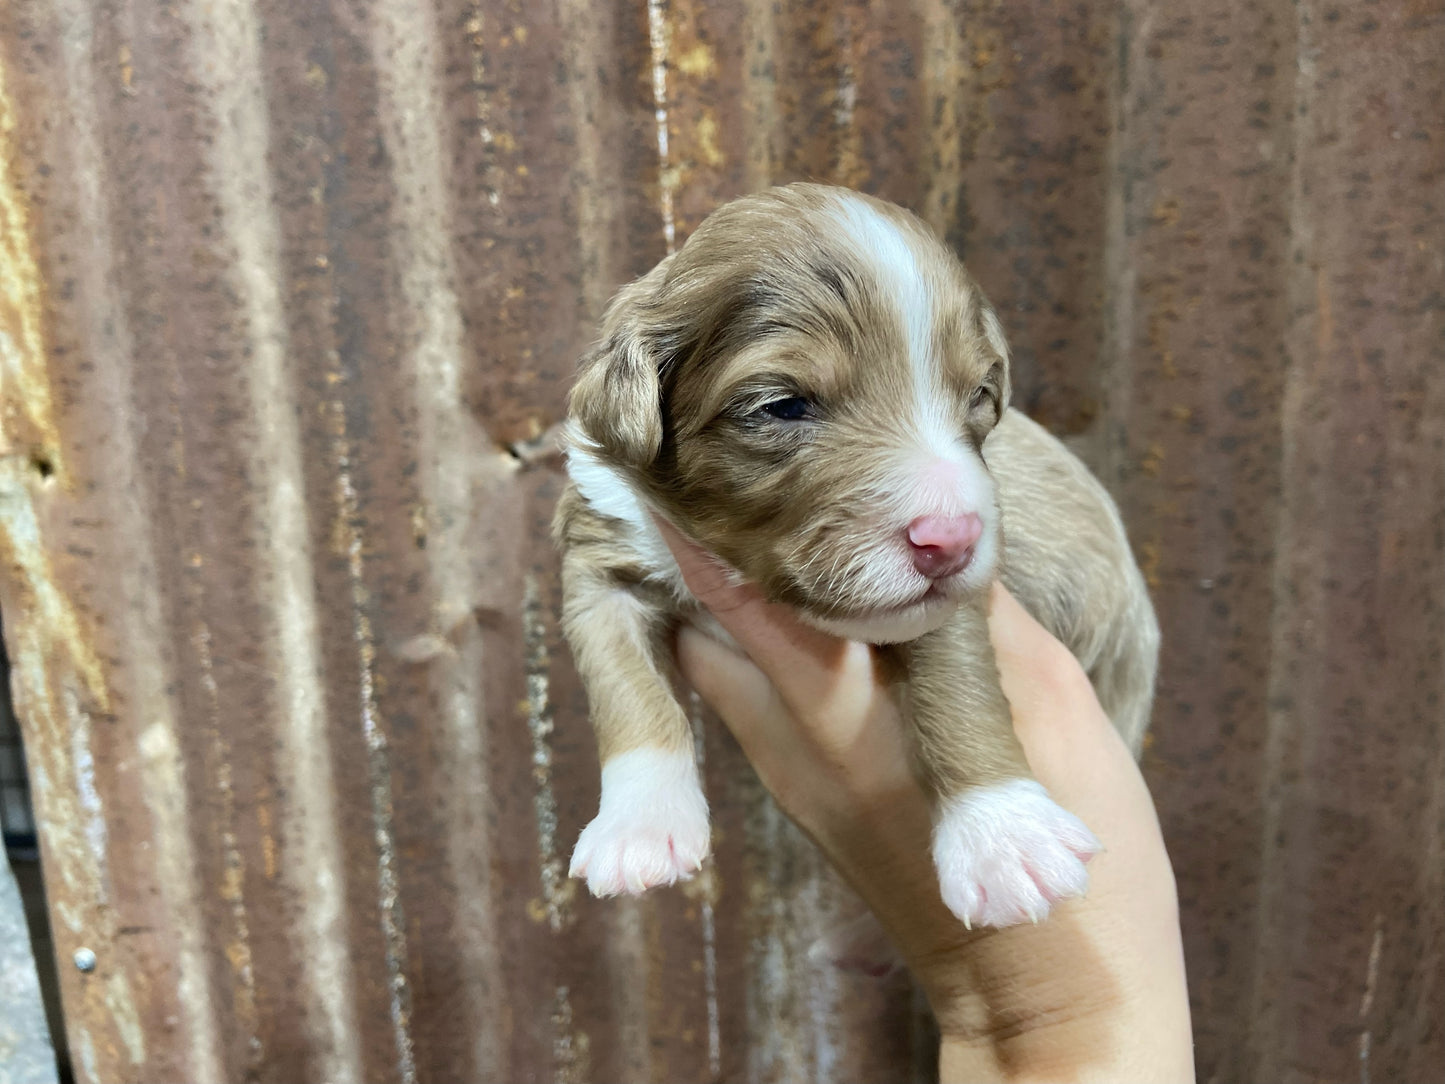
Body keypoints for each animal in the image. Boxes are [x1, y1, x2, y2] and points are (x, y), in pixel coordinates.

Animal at [546, 182, 1156, 930]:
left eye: (978, 397)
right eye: (781, 406)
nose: (953, 538)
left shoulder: (951, 604)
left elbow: (959, 689)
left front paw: (1005, 835)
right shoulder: (601, 553)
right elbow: (626, 686)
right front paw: (640, 826)